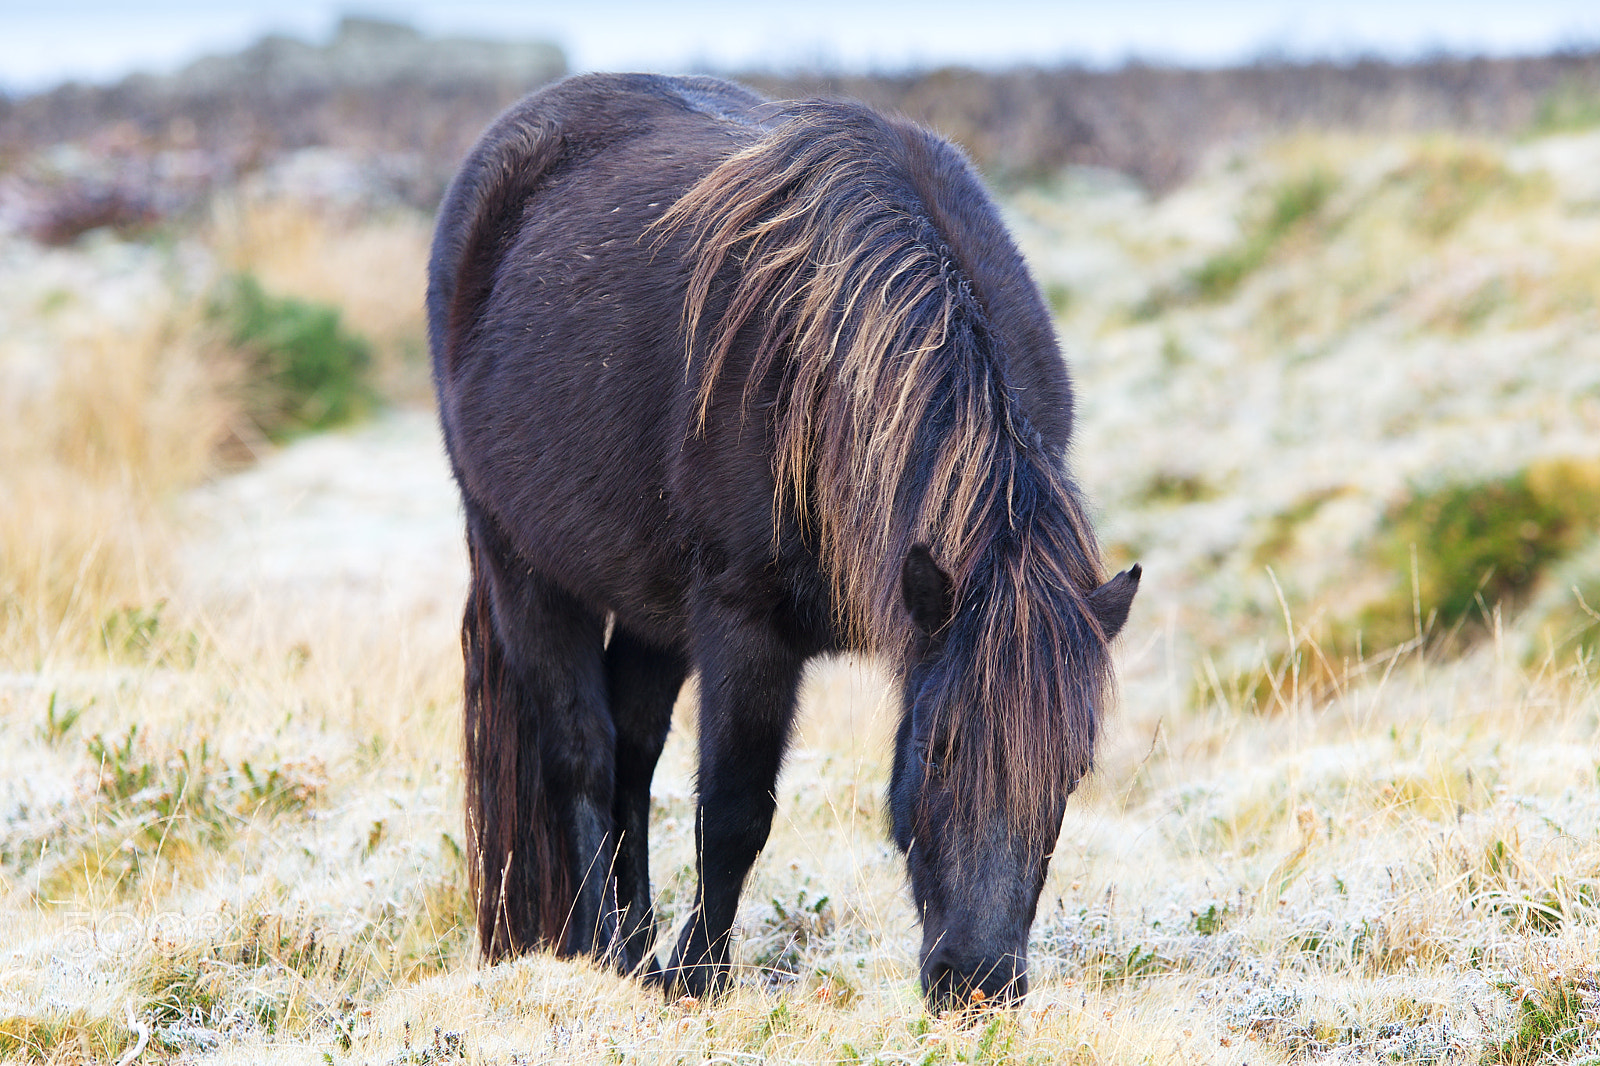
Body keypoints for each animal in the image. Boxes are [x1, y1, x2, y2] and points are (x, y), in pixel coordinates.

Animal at [427, 72, 1139, 1010]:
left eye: (1072, 769)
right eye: (939, 746)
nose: (981, 984)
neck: (823, 373)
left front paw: (678, 971)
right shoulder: (745, 627)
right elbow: (734, 814)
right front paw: (698, 980)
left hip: (654, 609)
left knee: (632, 754)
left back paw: (635, 948)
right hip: (525, 567)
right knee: (582, 754)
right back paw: (602, 950)